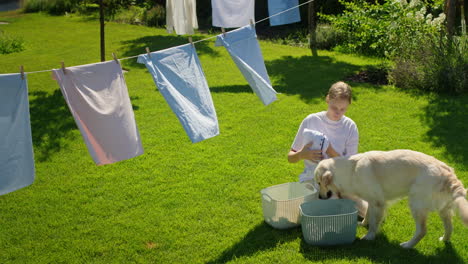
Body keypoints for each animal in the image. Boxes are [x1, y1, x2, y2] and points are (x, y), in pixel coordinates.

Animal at [314, 150, 468, 249]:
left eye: (319, 183)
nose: (320, 197)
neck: (351, 170)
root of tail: (448, 174)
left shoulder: (378, 203)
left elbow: (374, 224)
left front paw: (369, 237)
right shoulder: (372, 200)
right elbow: (368, 215)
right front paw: (363, 224)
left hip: (416, 204)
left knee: (422, 230)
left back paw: (407, 245)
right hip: (444, 209)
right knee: (449, 227)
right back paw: (444, 239)